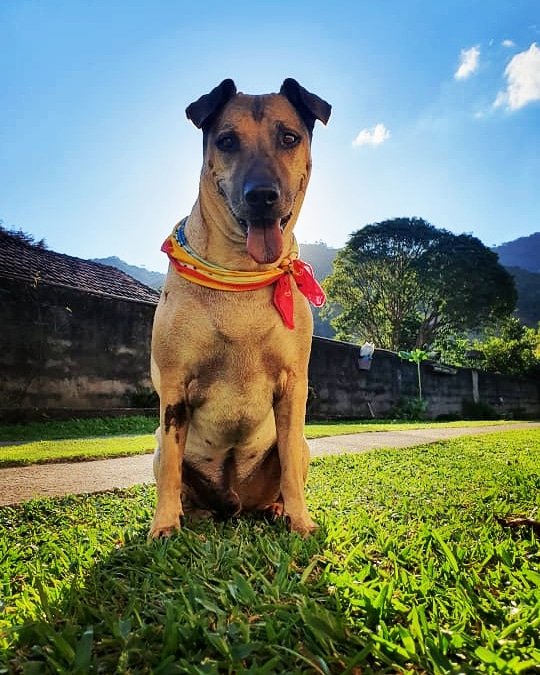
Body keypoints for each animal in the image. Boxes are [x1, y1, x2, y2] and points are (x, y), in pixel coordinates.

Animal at [150, 78, 332, 540]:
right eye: (227, 141)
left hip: (301, 448)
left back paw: (277, 508)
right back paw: (191, 516)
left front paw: (301, 521)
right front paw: (164, 527)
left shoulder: (294, 387)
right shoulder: (175, 387)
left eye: (289, 138)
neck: (241, 273)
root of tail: (234, 502)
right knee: (173, 471)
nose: (262, 196)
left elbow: (289, 465)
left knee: (288, 466)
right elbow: (173, 469)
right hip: (158, 446)